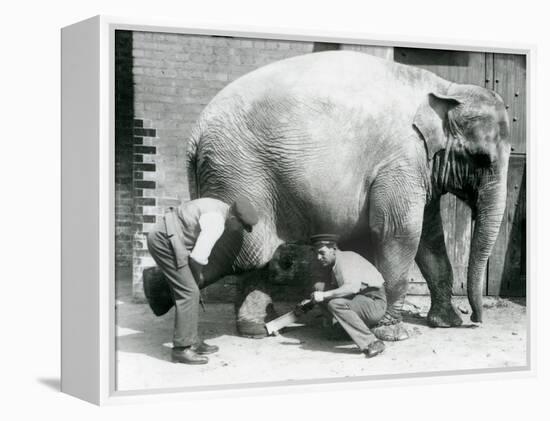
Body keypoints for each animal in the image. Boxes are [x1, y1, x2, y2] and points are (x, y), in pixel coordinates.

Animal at [185, 50, 512, 338]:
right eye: (481, 159)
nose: (475, 320)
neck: (446, 88)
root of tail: (195, 133)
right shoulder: (401, 161)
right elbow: (399, 232)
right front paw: (392, 332)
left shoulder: (418, 167)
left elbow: (429, 238)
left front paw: (446, 323)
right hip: (238, 172)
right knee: (247, 251)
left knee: (255, 255)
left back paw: (257, 328)